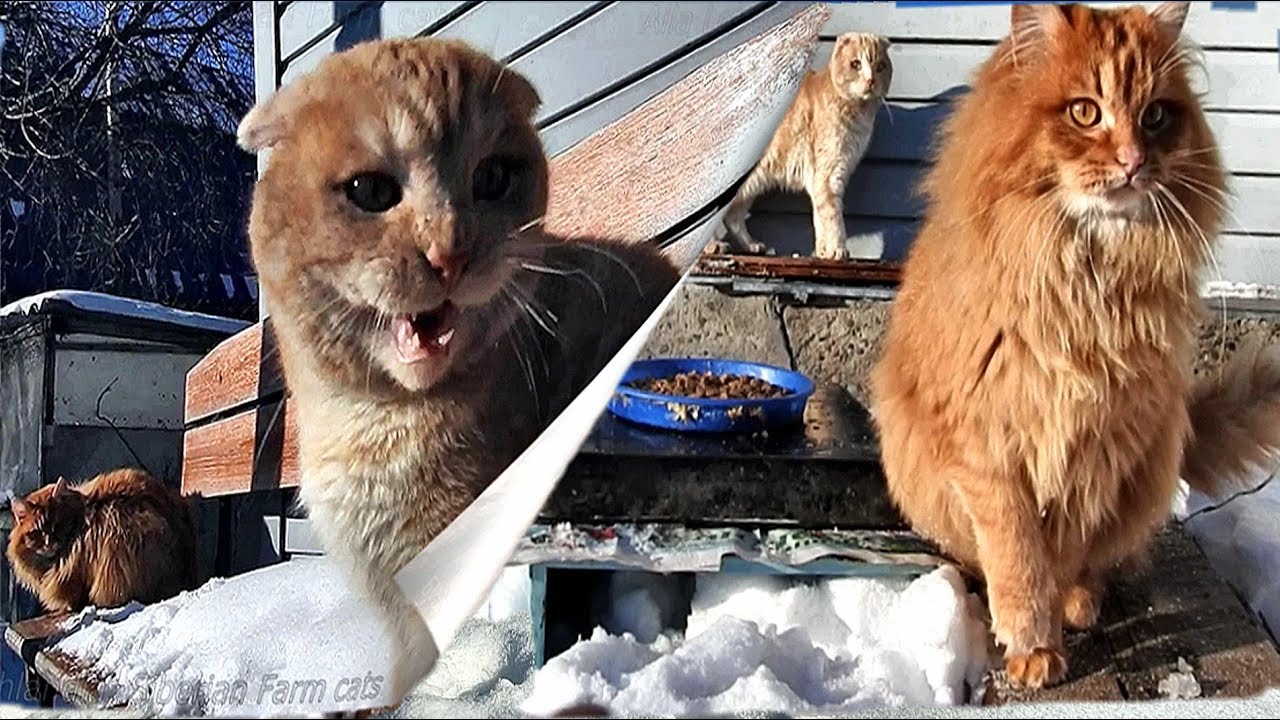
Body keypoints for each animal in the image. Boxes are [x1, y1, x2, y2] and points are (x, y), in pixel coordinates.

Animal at [711, 32, 890, 260]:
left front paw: (824, 251)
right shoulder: (828, 176)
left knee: (732, 218)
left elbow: (820, 218)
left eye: (881, 66)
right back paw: (713, 247)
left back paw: (752, 245)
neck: (860, 112)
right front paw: (838, 250)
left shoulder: (822, 180)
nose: (871, 80)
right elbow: (834, 218)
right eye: (856, 64)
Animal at [870, 1, 1280, 691]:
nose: (1134, 161)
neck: (1086, 287)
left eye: (1156, 116)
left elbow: (1057, 559)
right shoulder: (989, 454)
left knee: (1101, 561)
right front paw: (1030, 642)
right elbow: (1017, 559)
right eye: (1085, 112)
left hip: (1153, 453)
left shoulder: (1094, 451)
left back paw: (1084, 603)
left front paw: (1052, 630)